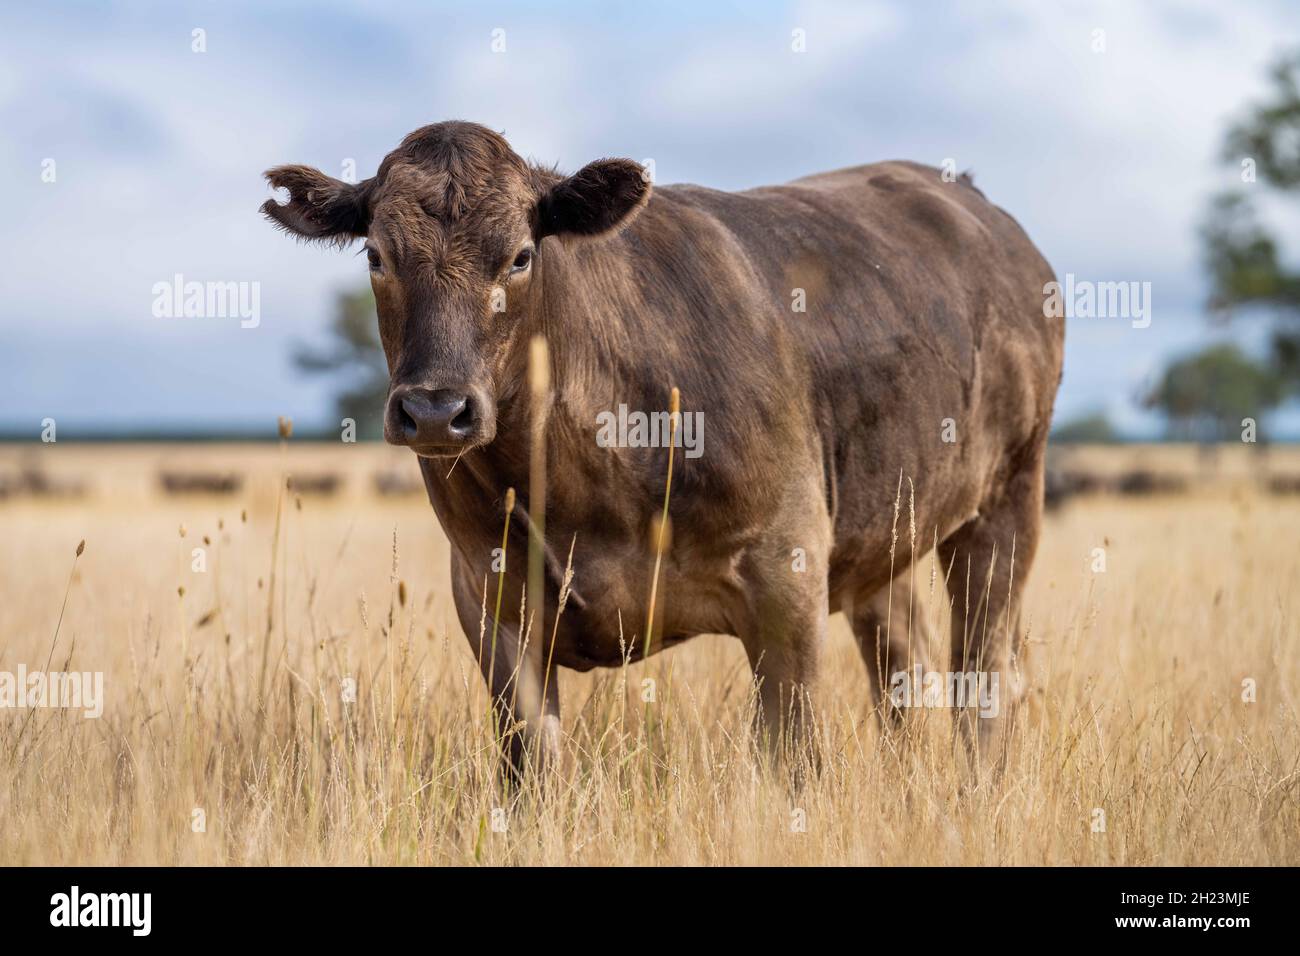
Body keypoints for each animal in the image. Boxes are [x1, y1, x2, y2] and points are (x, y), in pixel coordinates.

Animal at [262, 121, 1064, 779]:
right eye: (375, 255)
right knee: (904, 664)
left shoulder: (786, 576)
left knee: (984, 674)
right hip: (883, 529)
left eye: (519, 257)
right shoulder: (493, 603)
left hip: (1007, 499)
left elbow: (794, 760)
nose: (436, 409)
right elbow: (530, 770)